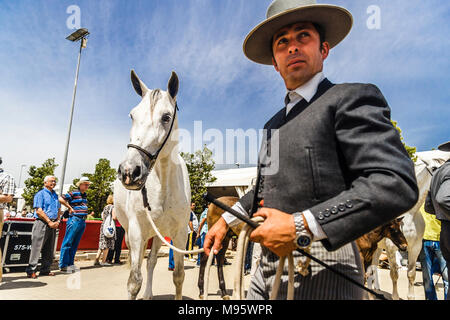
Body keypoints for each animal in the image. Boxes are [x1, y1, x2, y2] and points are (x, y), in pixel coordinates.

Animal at [113, 70, 191, 300]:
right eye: (132, 115)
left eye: (166, 117)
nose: (129, 171)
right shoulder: (137, 230)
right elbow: (133, 281)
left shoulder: (180, 234)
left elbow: (178, 276)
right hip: (131, 232)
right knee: (139, 262)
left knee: (151, 263)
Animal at [370, 152, 450, 300]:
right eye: (434, 167)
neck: (408, 215)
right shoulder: (391, 248)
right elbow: (394, 274)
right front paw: (395, 296)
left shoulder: (415, 247)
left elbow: (411, 273)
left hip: (378, 247)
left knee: (373, 265)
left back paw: (375, 289)